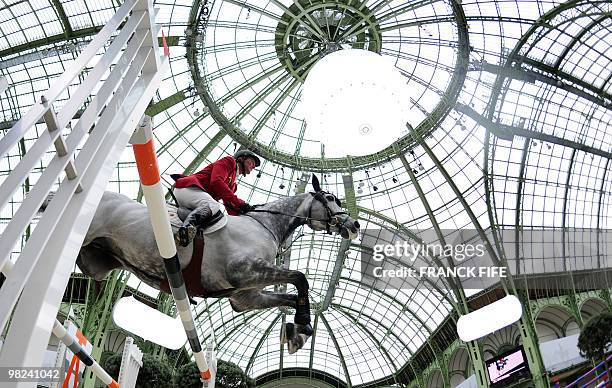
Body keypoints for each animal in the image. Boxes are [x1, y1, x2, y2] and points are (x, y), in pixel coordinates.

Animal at [58, 174, 358, 354]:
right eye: (331, 199)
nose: (354, 225)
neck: (266, 225)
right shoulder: (245, 271)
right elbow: (299, 277)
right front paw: (303, 325)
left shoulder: (245, 297)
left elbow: (290, 295)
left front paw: (298, 332)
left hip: (95, 262)